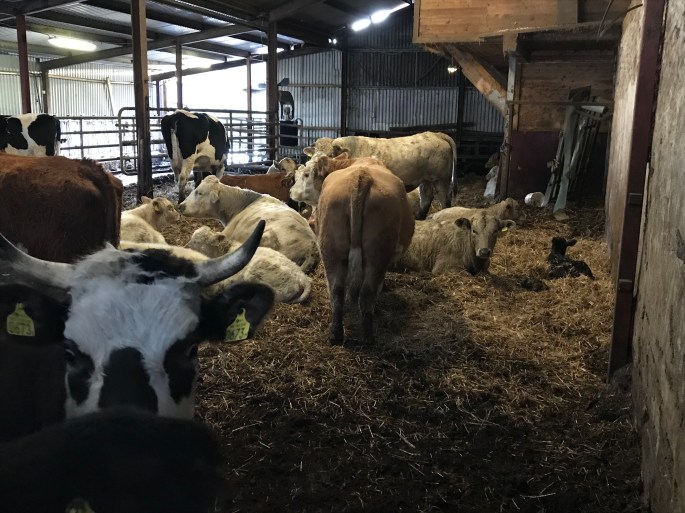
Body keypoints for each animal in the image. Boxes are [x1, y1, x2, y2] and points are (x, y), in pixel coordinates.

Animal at [305, 131, 457, 220]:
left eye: (330, 155)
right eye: (314, 155)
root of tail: (435, 134)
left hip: (441, 179)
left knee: (444, 200)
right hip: (426, 180)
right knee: (426, 197)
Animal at [307, 156, 414, 344]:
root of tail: (361, 176)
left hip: (331, 249)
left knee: (336, 291)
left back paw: (335, 334)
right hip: (377, 254)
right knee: (367, 292)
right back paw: (368, 337)